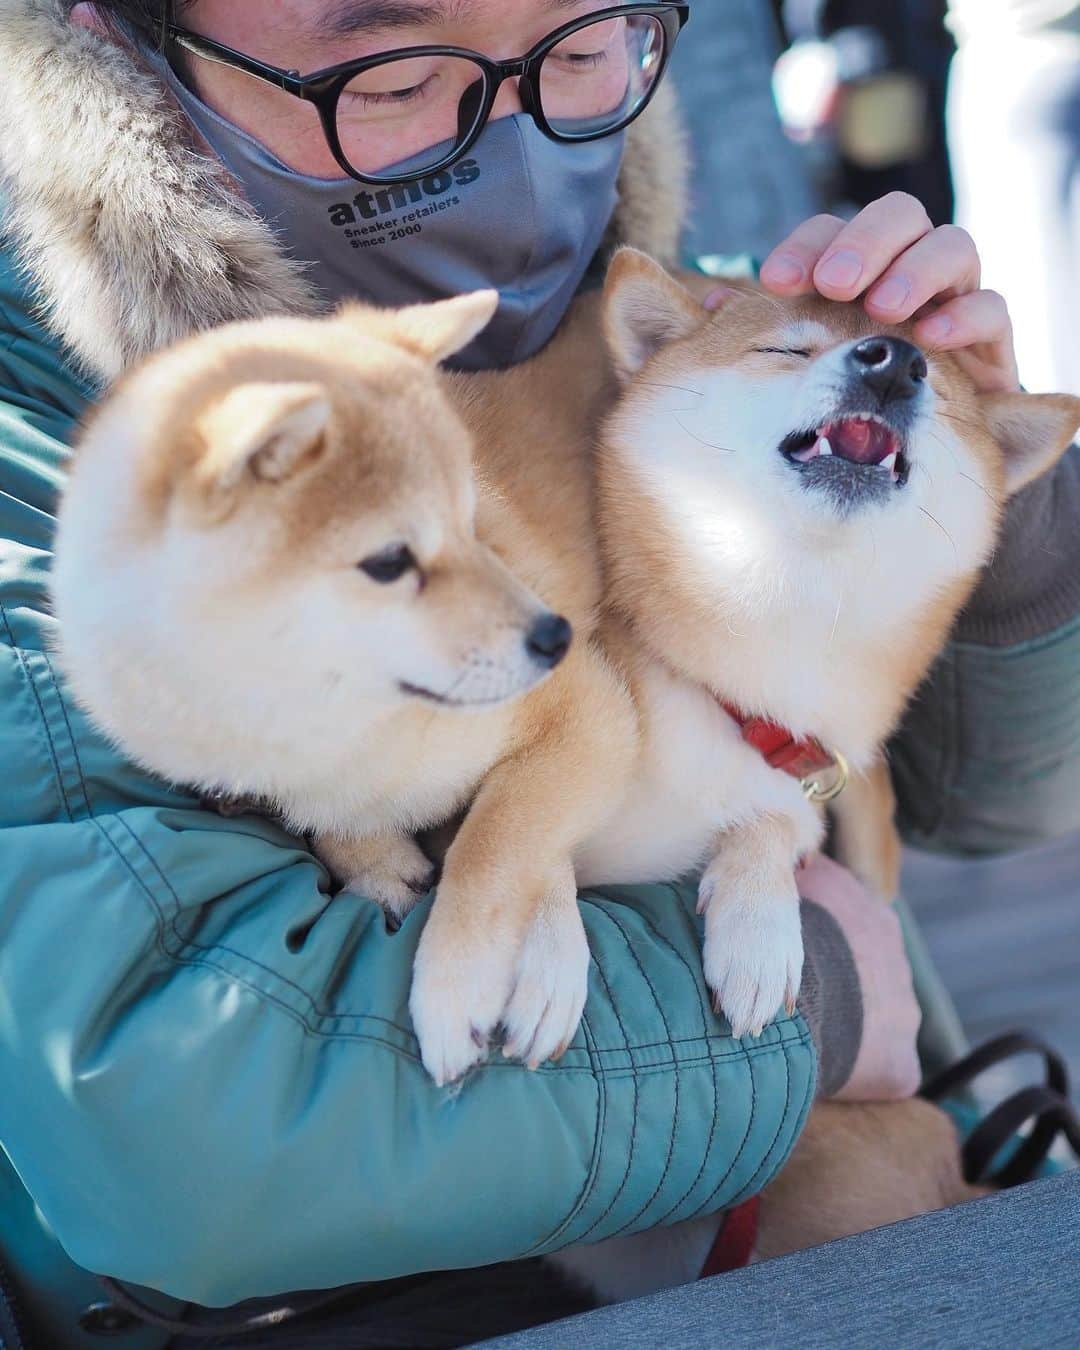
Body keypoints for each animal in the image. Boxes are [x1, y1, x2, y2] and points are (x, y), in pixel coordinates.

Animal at [50, 292, 637, 1085]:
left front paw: (463, 984)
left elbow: (494, 845)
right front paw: (378, 863)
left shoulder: (589, 715)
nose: (555, 637)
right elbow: (354, 822)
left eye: (472, 525)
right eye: (390, 561)